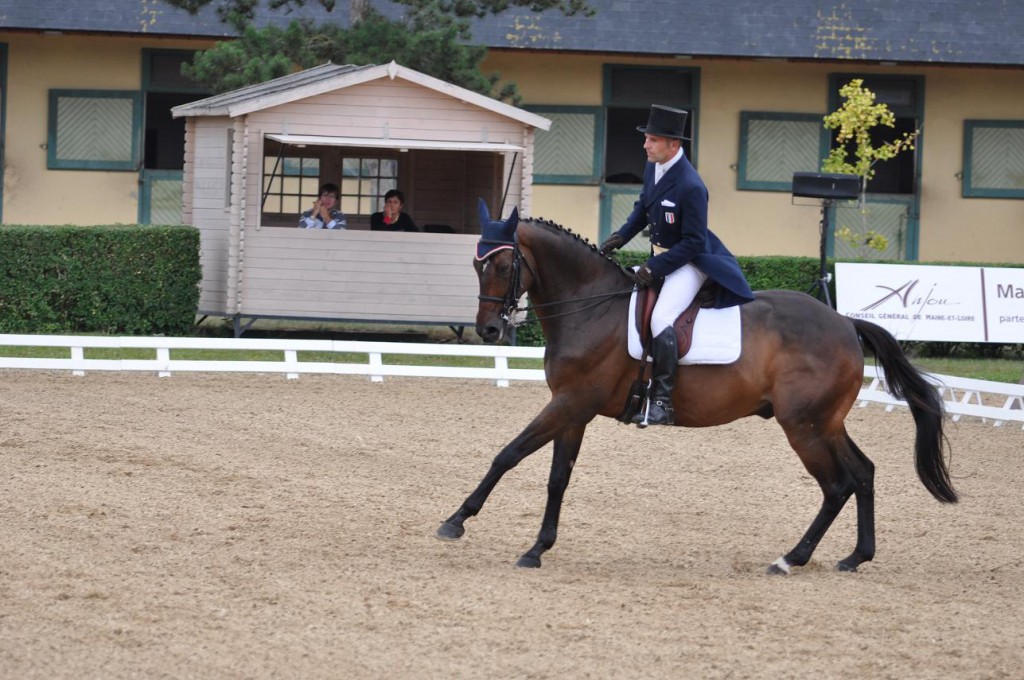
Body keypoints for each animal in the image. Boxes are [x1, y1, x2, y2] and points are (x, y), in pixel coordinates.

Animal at [436, 214, 954, 573]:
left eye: (505, 263)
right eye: (476, 264)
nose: (488, 330)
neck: (590, 307)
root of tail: (846, 323)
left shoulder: (570, 403)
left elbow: (509, 454)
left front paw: (456, 521)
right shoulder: (574, 409)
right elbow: (557, 478)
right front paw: (537, 549)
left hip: (803, 427)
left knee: (837, 485)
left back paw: (791, 559)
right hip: (824, 422)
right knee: (863, 473)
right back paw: (855, 557)